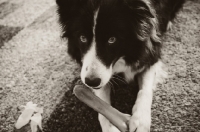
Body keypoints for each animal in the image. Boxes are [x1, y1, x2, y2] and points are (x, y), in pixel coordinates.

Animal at [55, 0, 185, 131]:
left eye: (112, 40)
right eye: (82, 38)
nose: (91, 82)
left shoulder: (151, 54)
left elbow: (145, 90)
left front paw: (140, 120)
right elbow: (102, 99)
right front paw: (110, 127)